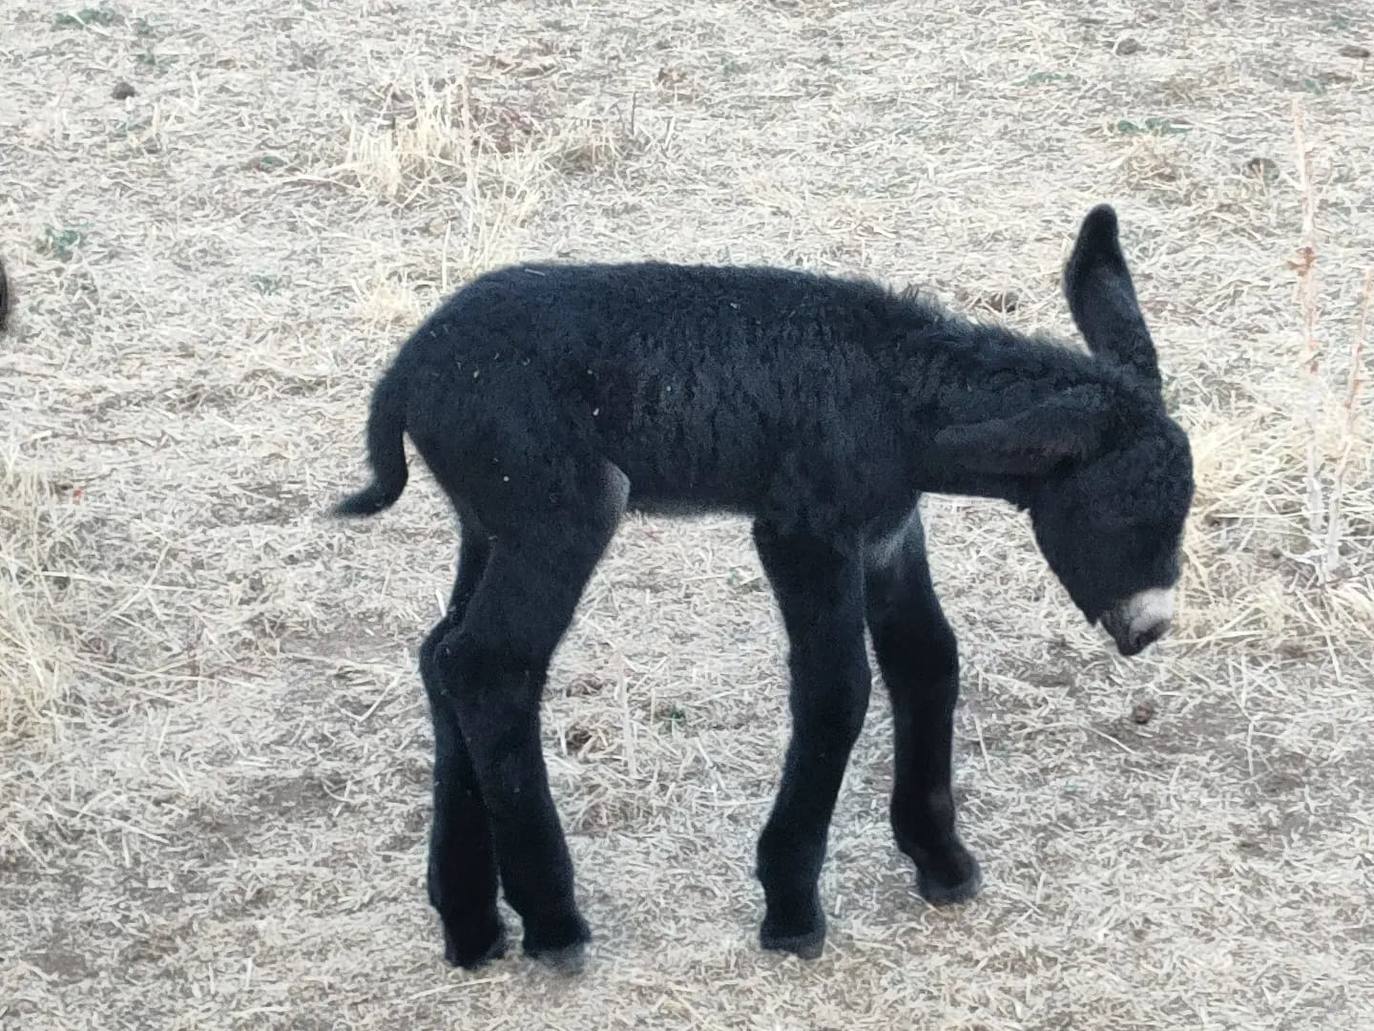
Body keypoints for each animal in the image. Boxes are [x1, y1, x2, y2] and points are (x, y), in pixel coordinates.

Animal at [332, 206, 1192, 973]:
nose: (1150, 629)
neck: (897, 397)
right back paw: (552, 921)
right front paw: (791, 905)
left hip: (489, 524)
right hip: (562, 513)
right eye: (1125, 513)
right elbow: (836, 692)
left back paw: (470, 920)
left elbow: (928, 660)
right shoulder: (802, 533)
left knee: (442, 655)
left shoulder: (887, 533)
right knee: (491, 667)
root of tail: (405, 374)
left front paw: (940, 857)